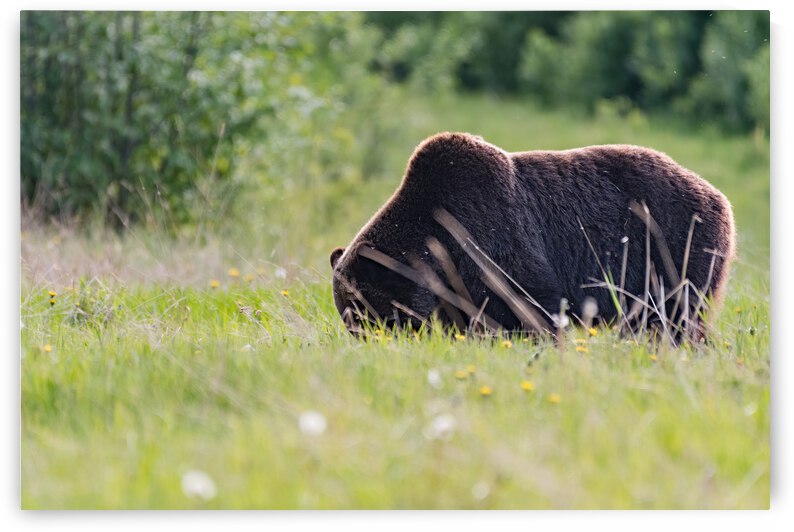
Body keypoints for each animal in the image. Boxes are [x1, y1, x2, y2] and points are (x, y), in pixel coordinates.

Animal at [330, 132, 735, 341]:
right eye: (346, 311)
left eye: (362, 309)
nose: (363, 338)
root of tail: (718, 196)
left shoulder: (491, 236)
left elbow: (529, 301)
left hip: (674, 246)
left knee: (676, 316)